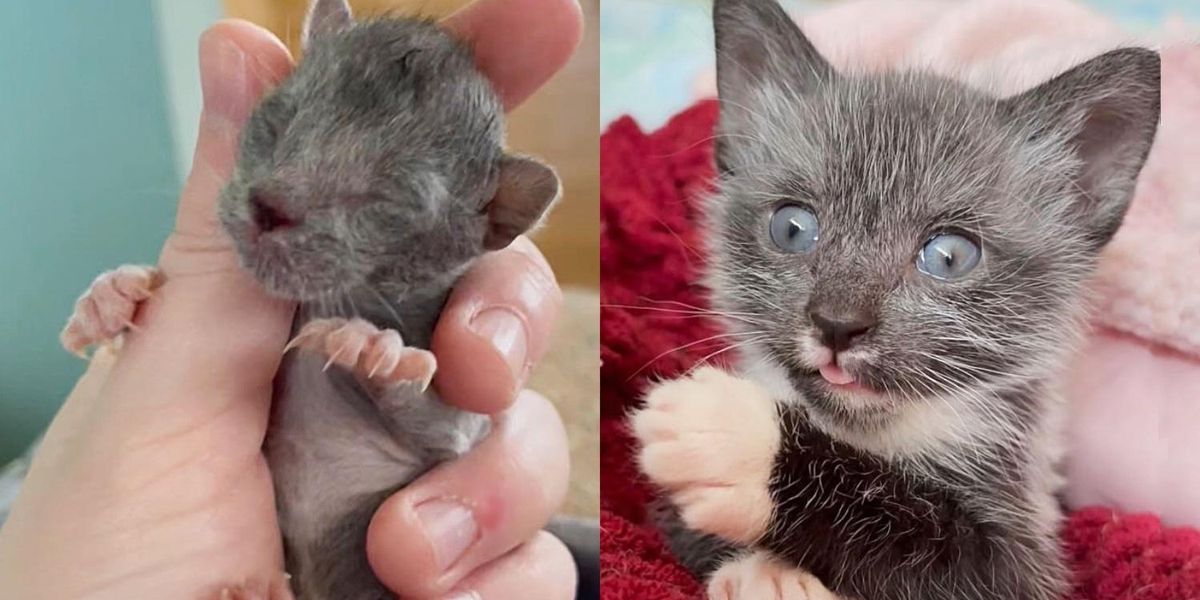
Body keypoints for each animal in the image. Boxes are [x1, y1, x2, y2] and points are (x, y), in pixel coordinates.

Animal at [219, 2, 566, 597]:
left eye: (387, 199)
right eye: (283, 117)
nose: (268, 206)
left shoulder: (462, 431)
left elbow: (444, 430)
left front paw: (370, 350)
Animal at [648, 1, 1161, 600]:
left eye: (948, 256)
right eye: (792, 227)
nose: (837, 324)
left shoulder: (1024, 557)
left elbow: (931, 542)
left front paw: (742, 444)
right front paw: (765, 567)